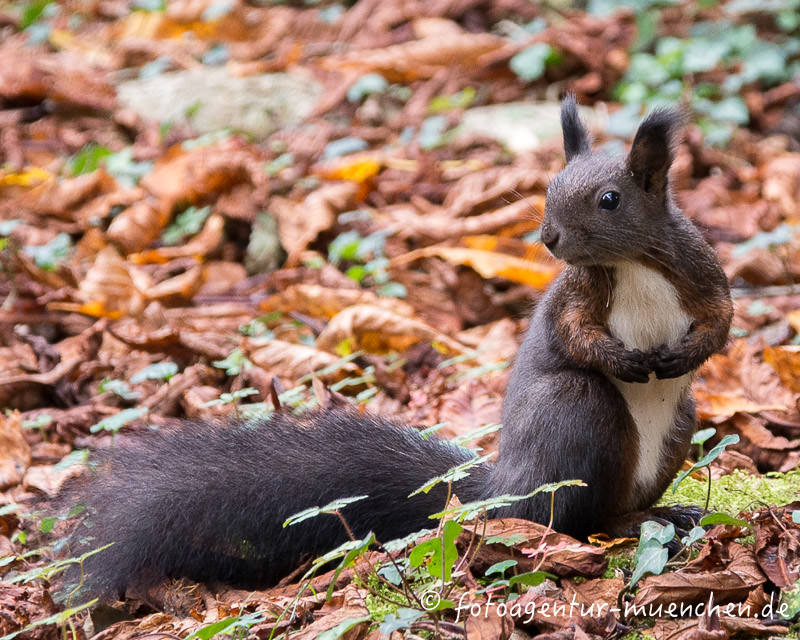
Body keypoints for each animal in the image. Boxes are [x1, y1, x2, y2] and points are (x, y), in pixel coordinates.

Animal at [61, 96, 732, 599]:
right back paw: (638, 519)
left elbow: (721, 322)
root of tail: (505, 485)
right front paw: (625, 358)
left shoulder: (700, 271)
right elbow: (575, 335)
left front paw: (685, 355)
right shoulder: (577, 295)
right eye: (548, 188)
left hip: (679, 423)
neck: (631, 263)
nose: (549, 237)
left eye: (610, 199)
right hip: (574, 413)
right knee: (574, 517)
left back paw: (672, 513)